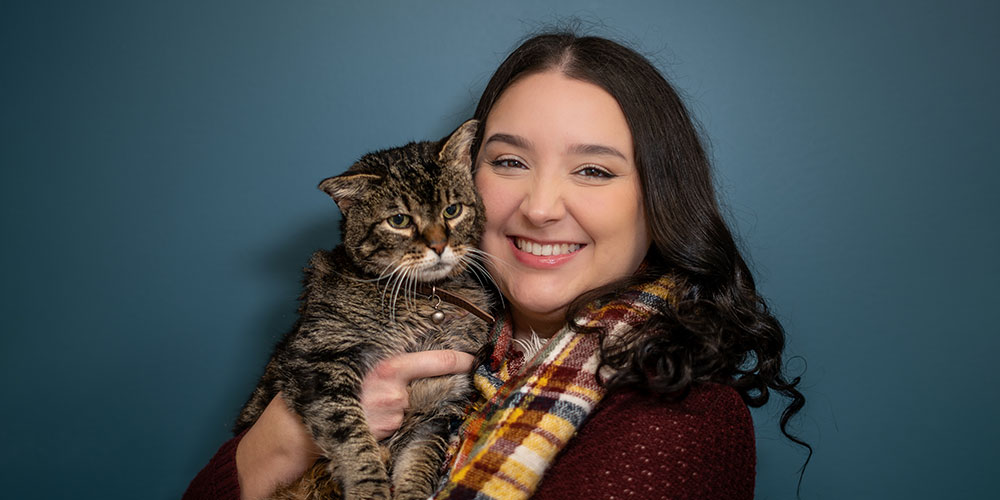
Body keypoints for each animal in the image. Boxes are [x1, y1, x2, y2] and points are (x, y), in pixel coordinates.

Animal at [230, 121, 488, 500]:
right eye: (399, 220)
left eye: (452, 210)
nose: (439, 245)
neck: (426, 303)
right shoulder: (319, 359)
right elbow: (351, 435)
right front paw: (369, 487)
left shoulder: (440, 406)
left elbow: (420, 463)